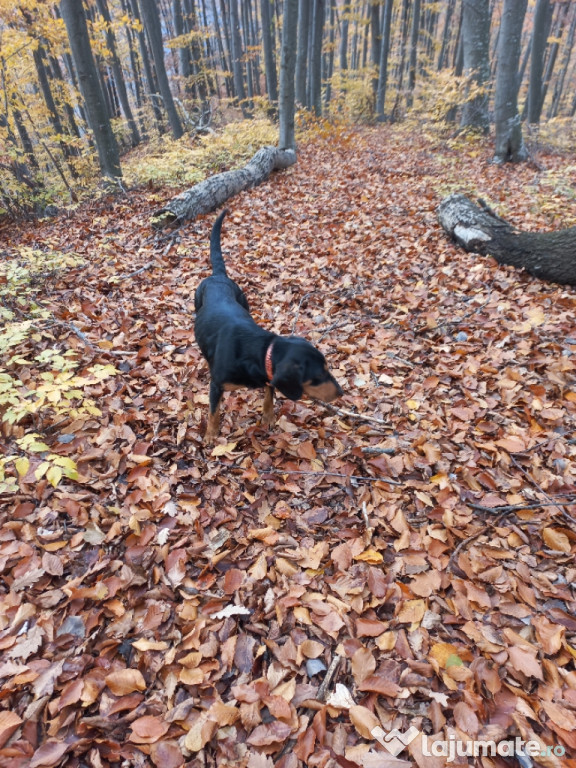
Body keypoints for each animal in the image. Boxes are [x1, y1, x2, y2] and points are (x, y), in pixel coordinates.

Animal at [194, 210, 342, 440]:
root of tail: (217, 276)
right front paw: (211, 434)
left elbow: (269, 395)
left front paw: (269, 416)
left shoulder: (270, 375)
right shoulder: (216, 385)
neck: (259, 350)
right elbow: (213, 411)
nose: (341, 393)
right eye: (318, 376)